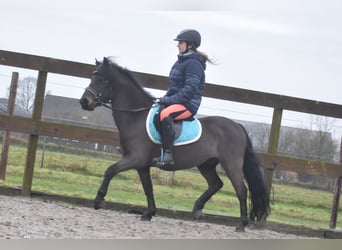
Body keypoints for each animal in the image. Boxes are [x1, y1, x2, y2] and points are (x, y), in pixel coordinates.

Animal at [79, 57, 270, 232]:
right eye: (92, 77)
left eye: (102, 80)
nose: (84, 102)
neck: (136, 117)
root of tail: (237, 126)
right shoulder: (142, 165)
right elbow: (148, 188)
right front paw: (149, 213)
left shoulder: (135, 158)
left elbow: (110, 170)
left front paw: (99, 201)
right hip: (206, 164)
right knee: (216, 184)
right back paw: (197, 209)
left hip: (231, 164)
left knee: (241, 190)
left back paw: (241, 224)